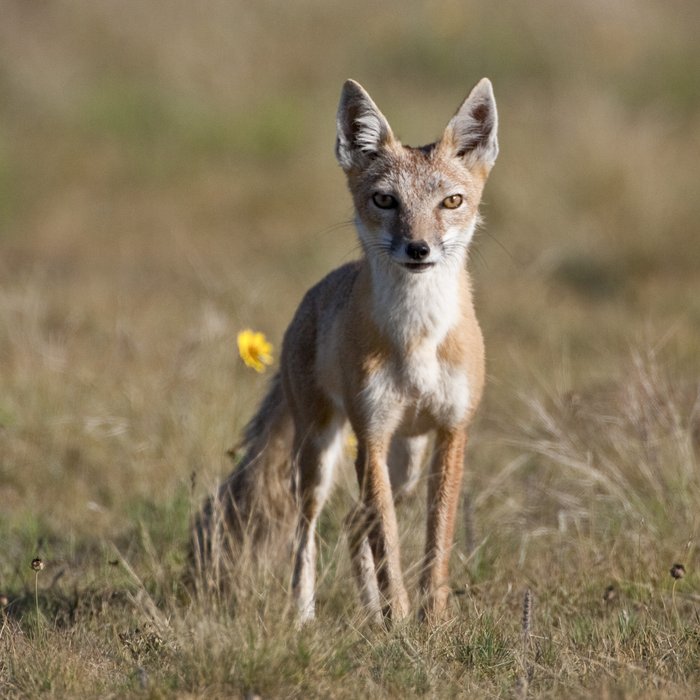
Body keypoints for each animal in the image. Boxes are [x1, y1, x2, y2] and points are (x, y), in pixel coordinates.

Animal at [192, 77, 498, 623]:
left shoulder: (451, 432)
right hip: (320, 453)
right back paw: (305, 616)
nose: (418, 249)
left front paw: (434, 622)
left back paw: (369, 614)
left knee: (356, 521)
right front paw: (401, 623)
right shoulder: (371, 434)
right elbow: (387, 546)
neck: (417, 340)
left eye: (451, 201)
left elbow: (435, 544)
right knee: (311, 532)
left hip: (406, 460)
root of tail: (314, 295)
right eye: (384, 200)